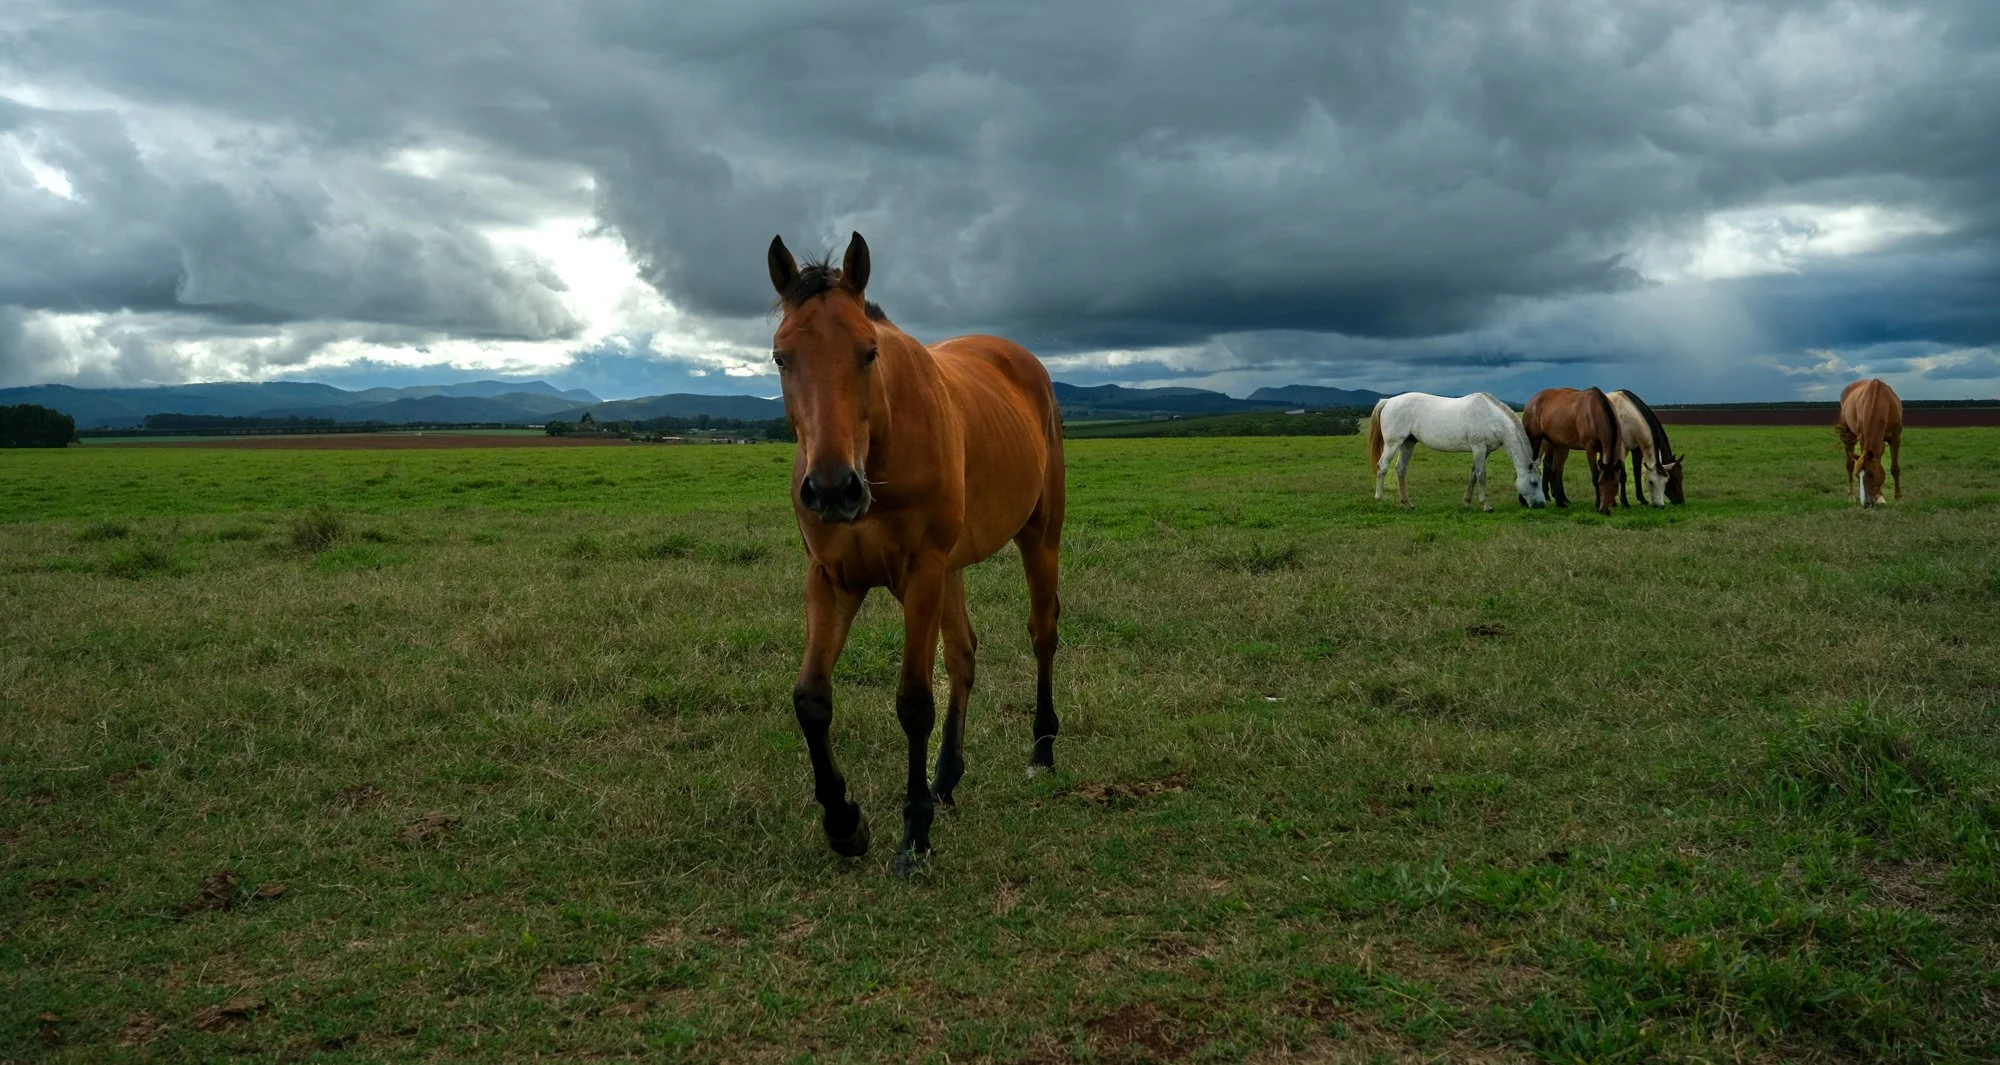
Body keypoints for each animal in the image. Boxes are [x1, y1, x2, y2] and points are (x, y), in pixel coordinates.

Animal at [768, 232, 1065, 875]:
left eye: (869, 352)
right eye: (781, 357)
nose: (833, 489)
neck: (878, 451)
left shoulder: (921, 574)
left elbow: (912, 703)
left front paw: (913, 835)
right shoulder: (831, 579)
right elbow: (810, 698)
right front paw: (844, 824)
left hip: (1038, 539)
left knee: (1042, 634)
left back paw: (1042, 748)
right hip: (951, 569)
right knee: (964, 654)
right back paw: (945, 778)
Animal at [1367, 392, 1547, 510]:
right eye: (1534, 483)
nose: (1541, 505)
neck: (1491, 418)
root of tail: (1388, 401)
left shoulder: (1485, 451)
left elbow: (1473, 474)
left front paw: (1467, 502)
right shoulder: (1479, 448)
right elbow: (1481, 476)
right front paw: (1486, 505)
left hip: (1408, 443)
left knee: (1401, 469)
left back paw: (1407, 503)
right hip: (1393, 444)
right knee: (1382, 467)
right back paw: (1379, 499)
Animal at [1522, 387, 1622, 516]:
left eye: (1616, 485)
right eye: (1600, 483)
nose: (1604, 510)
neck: (1594, 411)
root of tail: (1532, 400)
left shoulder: (1602, 451)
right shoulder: (1590, 450)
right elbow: (1595, 475)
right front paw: (1597, 504)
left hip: (1557, 445)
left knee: (1555, 471)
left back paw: (1560, 502)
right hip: (1535, 441)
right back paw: (1524, 501)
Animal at [1836, 377, 1903, 507]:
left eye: (1871, 474)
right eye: (1857, 476)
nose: (1865, 503)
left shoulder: (1895, 438)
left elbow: (1894, 468)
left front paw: (1896, 498)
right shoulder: (1863, 439)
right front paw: (1880, 496)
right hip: (1848, 437)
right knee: (1849, 465)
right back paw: (1851, 496)